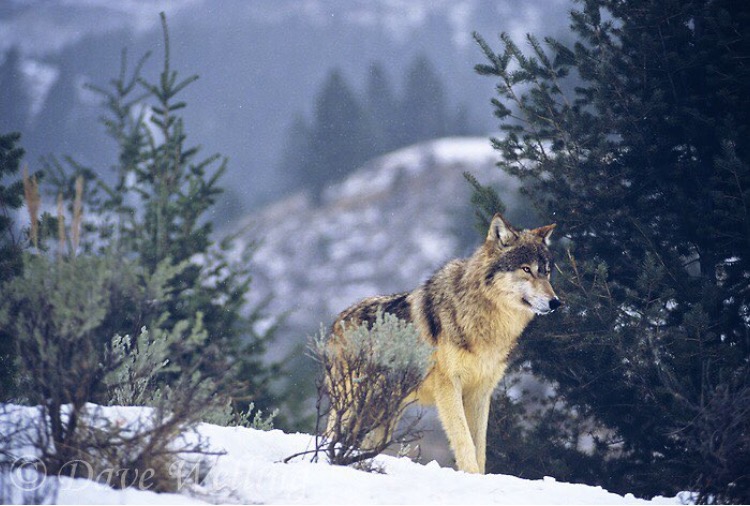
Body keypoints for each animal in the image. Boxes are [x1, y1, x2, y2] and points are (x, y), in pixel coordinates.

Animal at [330, 213, 560, 474]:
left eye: (547, 272)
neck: (484, 323)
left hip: (383, 416)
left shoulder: (481, 392)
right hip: (351, 406)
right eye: (526, 269)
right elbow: (464, 440)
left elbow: (480, 448)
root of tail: (338, 320)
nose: (555, 302)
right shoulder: (449, 386)